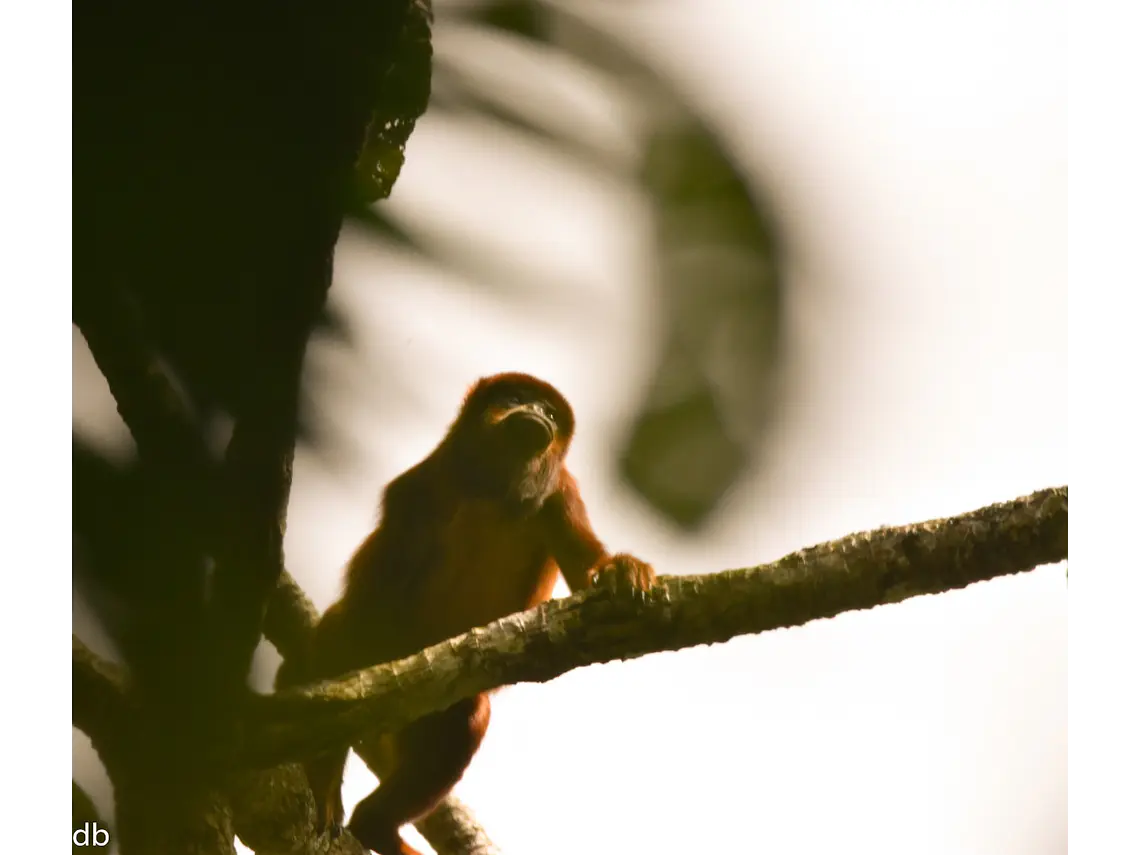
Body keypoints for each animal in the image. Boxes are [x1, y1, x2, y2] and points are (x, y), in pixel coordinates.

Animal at [276, 372, 657, 855]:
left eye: (550, 413)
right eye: (515, 397)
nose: (535, 411)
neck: (494, 489)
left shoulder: (561, 493)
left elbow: (586, 569)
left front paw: (623, 570)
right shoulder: (415, 490)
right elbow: (365, 608)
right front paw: (325, 773)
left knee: (466, 717)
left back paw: (374, 824)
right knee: (345, 630)